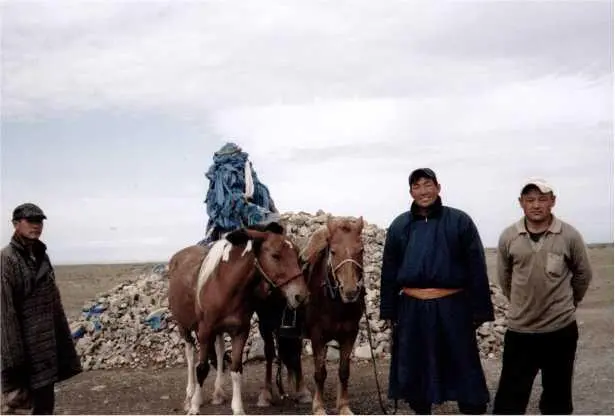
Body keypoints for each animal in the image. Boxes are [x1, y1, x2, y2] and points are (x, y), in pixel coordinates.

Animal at [167, 223, 308, 414]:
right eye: (275, 255)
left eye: (297, 256)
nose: (301, 295)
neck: (223, 286)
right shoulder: (204, 331)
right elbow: (201, 368)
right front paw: (195, 406)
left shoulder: (240, 332)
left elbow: (236, 369)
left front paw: (238, 407)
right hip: (185, 326)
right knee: (190, 355)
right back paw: (189, 396)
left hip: (217, 331)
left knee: (219, 352)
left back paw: (218, 393)